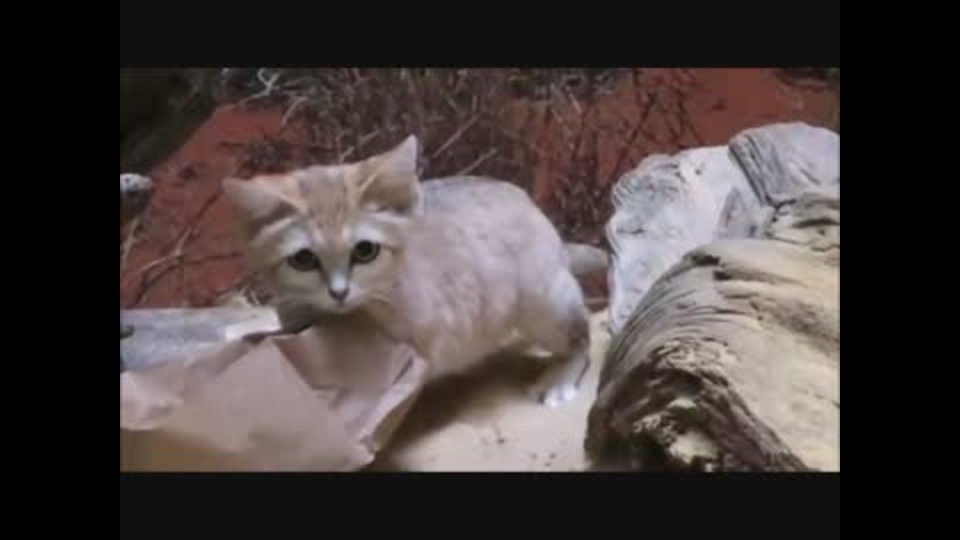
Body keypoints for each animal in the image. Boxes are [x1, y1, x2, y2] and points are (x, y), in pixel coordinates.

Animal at [222, 135, 596, 406]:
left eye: (365, 251)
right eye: (303, 260)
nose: (339, 293)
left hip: (543, 304)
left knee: (582, 337)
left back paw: (560, 379)